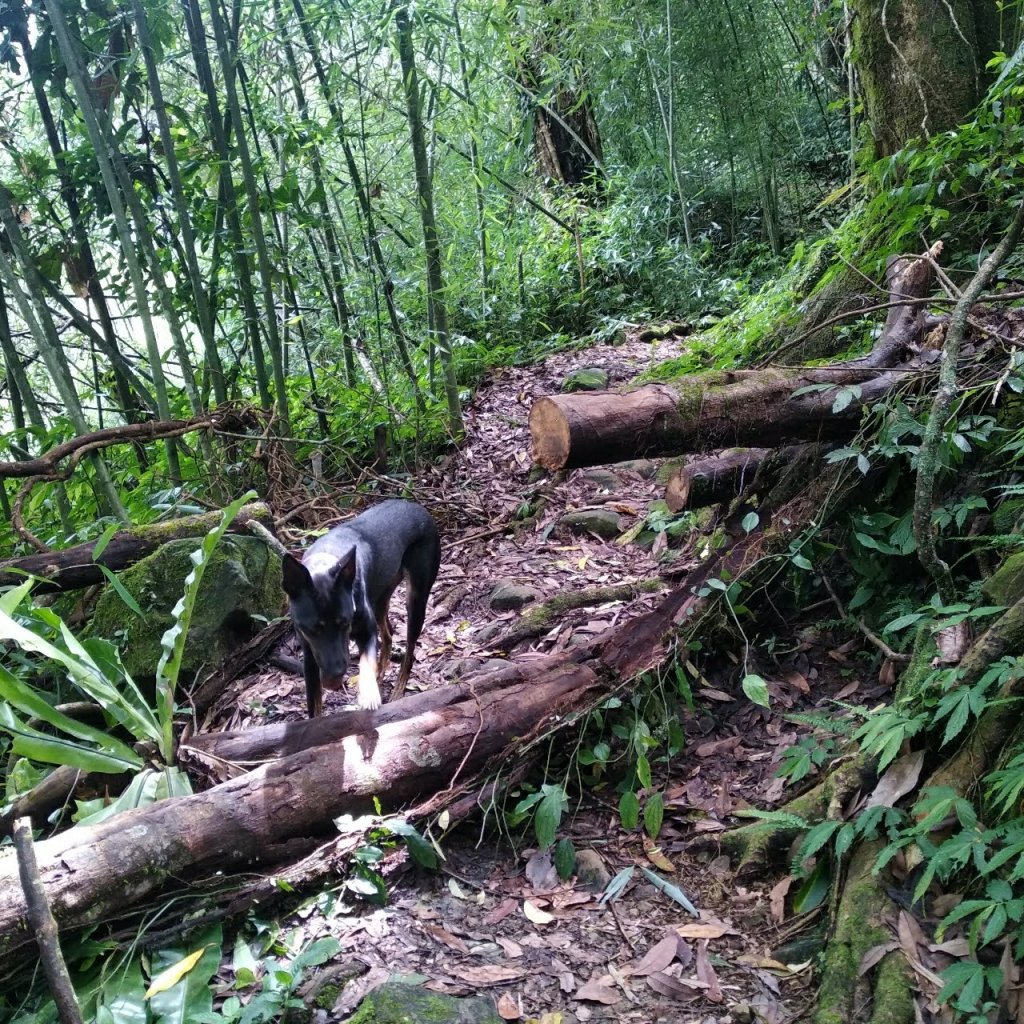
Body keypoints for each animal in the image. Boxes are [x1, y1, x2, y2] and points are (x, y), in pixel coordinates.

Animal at [280, 499, 440, 716]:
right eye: (312, 629)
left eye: (345, 622)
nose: (335, 675)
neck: (325, 560)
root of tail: (419, 507)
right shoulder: (310, 655)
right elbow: (314, 705)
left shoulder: (367, 632)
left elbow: (366, 661)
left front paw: (369, 694)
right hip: (380, 598)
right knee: (388, 634)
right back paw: (381, 675)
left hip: (416, 598)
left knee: (409, 650)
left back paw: (397, 689)